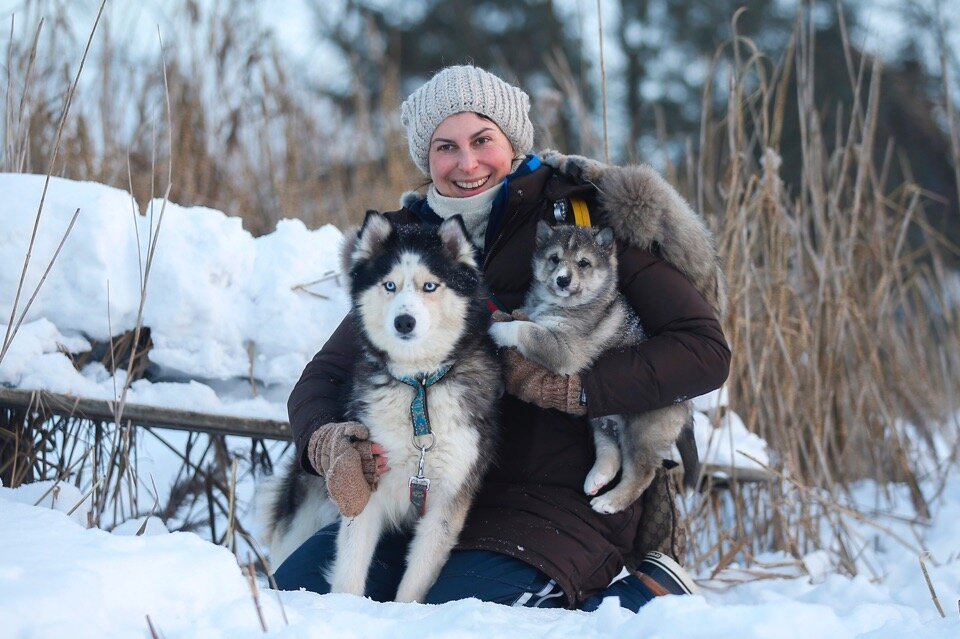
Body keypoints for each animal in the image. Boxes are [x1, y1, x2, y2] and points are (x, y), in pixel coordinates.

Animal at [260, 214, 502, 604]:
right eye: (390, 285)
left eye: (430, 286)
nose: (404, 321)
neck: (419, 392)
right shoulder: (364, 482)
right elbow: (350, 567)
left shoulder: (448, 500)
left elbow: (415, 581)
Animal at [488, 220, 688, 516]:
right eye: (554, 258)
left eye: (583, 263)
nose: (563, 279)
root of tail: (686, 405)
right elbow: (528, 321)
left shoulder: (566, 348)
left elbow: (527, 329)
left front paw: (498, 329)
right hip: (601, 414)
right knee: (610, 451)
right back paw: (597, 479)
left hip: (641, 430)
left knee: (640, 474)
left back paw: (610, 502)